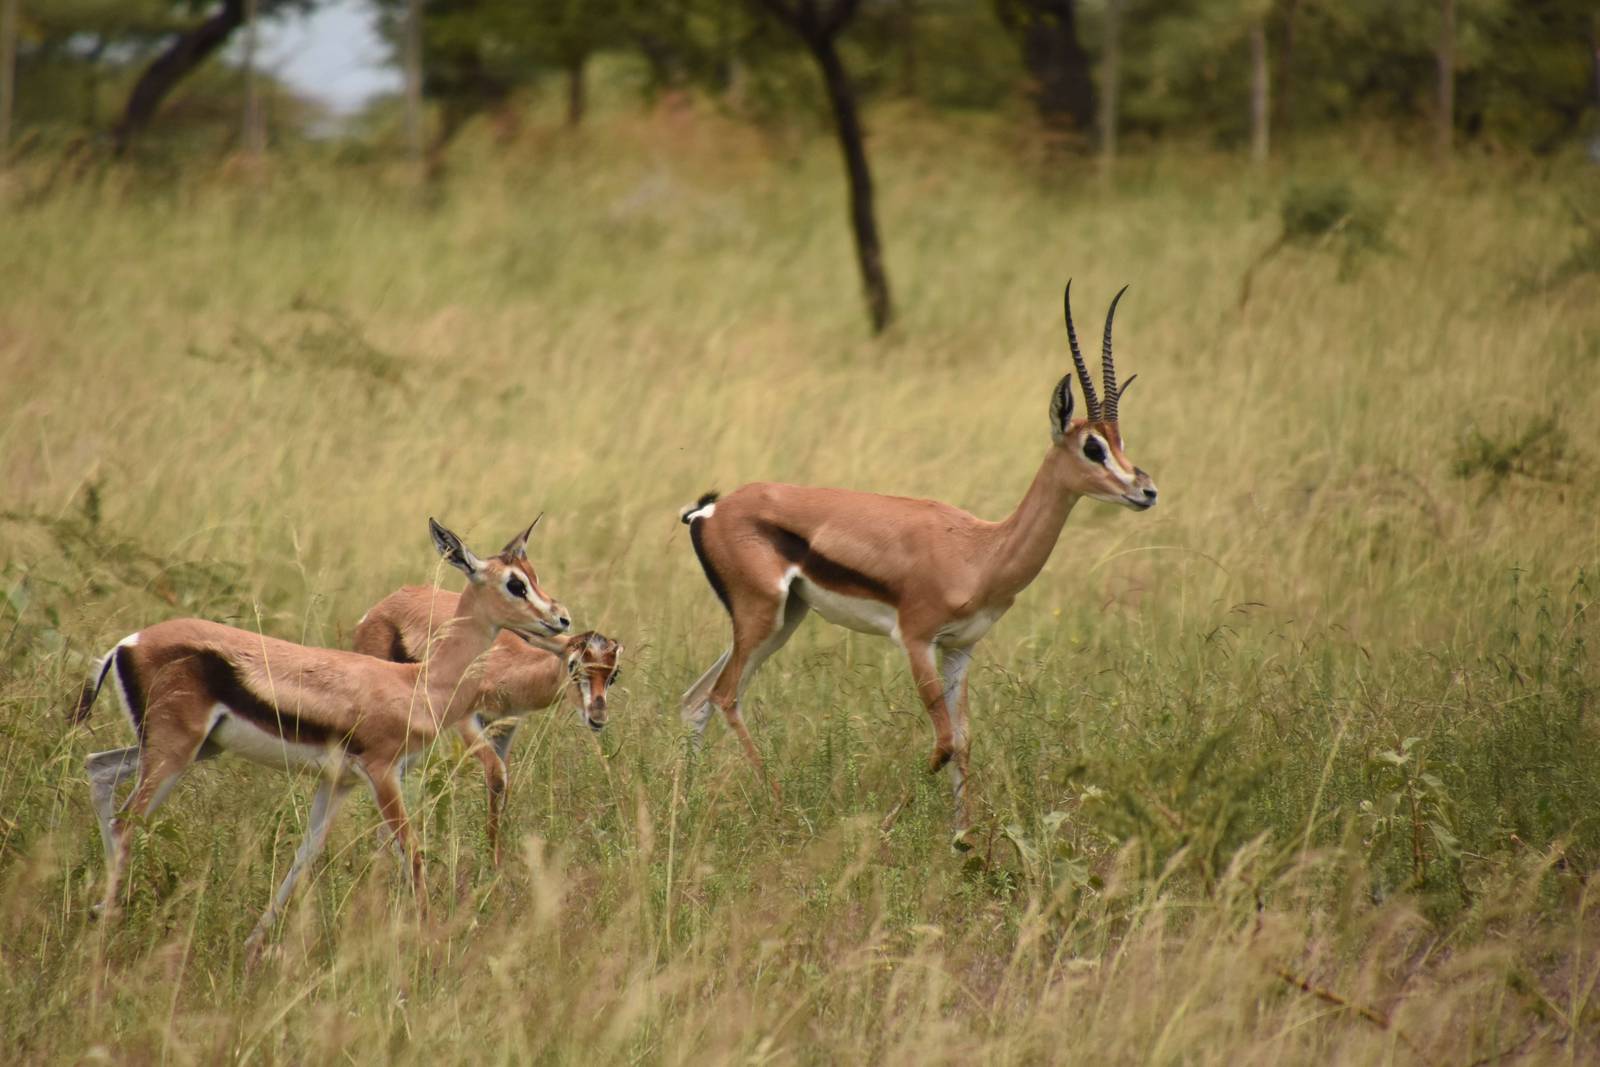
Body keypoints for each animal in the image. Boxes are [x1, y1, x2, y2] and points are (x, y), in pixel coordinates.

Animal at [73, 518, 570, 952]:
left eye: (533, 575)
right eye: (515, 584)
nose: (561, 619)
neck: (419, 683)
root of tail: (126, 644)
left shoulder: (338, 782)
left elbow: (306, 853)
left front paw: (254, 947)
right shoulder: (381, 773)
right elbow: (412, 851)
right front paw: (430, 943)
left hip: (190, 749)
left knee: (97, 769)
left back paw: (99, 911)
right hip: (174, 752)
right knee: (124, 821)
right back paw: (107, 925)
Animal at [352, 584, 623, 865]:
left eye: (613, 674)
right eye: (573, 665)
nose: (597, 717)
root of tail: (379, 608)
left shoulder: (505, 725)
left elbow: (504, 782)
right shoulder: (467, 721)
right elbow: (495, 776)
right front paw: (491, 860)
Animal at [679, 283, 1157, 826]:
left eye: (1120, 440)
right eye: (1092, 447)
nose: (1146, 491)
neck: (980, 551)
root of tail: (711, 510)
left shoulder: (959, 649)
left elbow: (964, 742)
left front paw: (963, 837)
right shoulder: (915, 642)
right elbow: (943, 744)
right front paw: (889, 821)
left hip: (781, 621)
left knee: (696, 699)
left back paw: (686, 804)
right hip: (762, 617)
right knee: (723, 695)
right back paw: (779, 806)